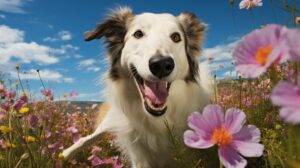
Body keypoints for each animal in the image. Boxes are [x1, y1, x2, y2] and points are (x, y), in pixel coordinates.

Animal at [62, 7, 211, 167]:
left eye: (176, 37)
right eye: (138, 34)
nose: (161, 65)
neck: (158, 120)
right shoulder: (138, 155)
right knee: (90, 136)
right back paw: (64, 154)